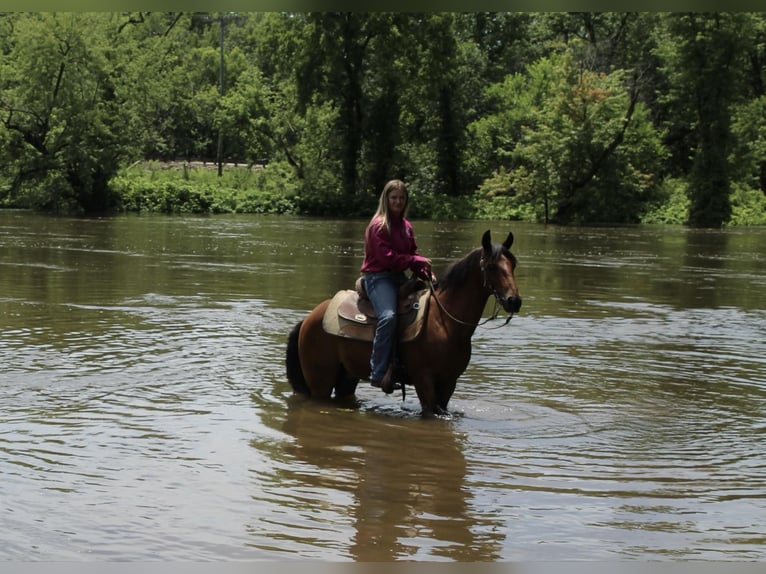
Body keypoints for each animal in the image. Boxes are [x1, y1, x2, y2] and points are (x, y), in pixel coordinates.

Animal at [285, 229, 522, 417]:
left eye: (513, 264)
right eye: (491, 266)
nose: (514, 301)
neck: (445, 323)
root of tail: (309, 318)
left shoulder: (449, 382)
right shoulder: (424, 379)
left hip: (347, 377)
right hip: (320, 380)